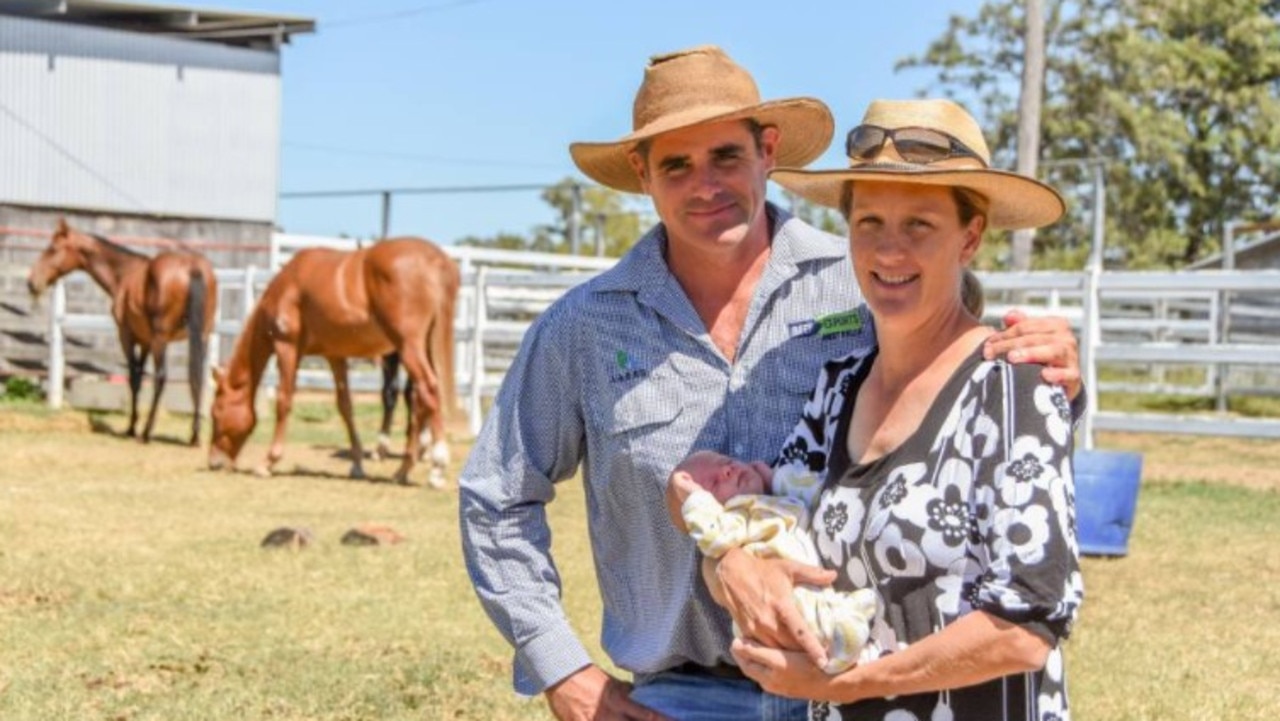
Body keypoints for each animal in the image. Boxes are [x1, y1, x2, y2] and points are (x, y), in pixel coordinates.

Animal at [26, 220, 217, 445]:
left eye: (53, 249)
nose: (32, 282)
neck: (124, 273)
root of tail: (193, 267)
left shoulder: (127, 336)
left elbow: (134, 379)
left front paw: (131, 428)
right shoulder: (145, 341)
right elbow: (140, 377)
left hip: (161, 340)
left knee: (161, 378)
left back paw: (146, 433)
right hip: (201, 337)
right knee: (198, 379)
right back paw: (194, 435)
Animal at [212, 239, 463, 489]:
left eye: (216, 412)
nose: (214, 462)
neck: (288, 284)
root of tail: (437, 260)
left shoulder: (287, 347)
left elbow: (284, 400)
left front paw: (268, 462)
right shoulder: (335, 356)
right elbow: (345, 406)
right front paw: (357, 465)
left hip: (408, 347)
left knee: (428, 390)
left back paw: (437, 468)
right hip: (422, 348)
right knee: (420, 401)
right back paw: (403, 469)